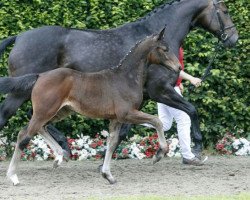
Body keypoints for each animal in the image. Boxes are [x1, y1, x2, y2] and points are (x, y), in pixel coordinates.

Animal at [1, 28, 181, 186]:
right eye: (165, 49)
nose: (178, 67)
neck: (126, 78)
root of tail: (40, 76)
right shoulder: (126, 113)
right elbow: (156, 121)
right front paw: (159, 154)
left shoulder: (115, 119)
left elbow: (112, 143)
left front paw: (108, 175)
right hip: (44, 112)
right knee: (24, 136)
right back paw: (14, 176)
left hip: (58, 112)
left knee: (37, 129)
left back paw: (59, 157)